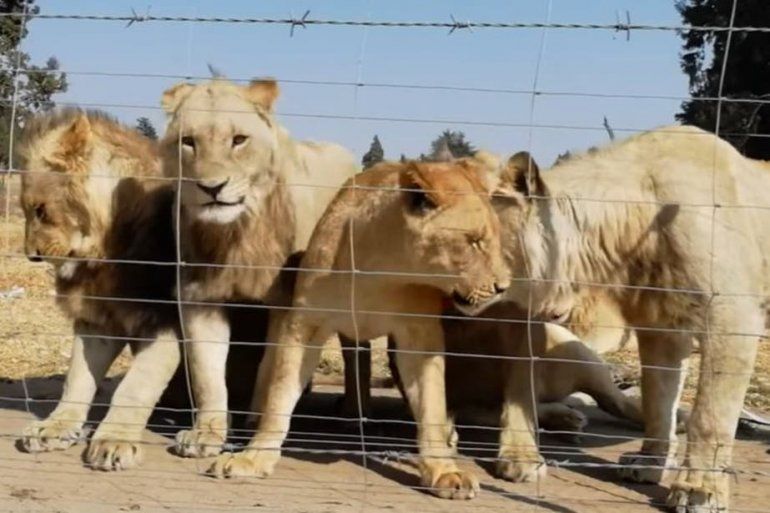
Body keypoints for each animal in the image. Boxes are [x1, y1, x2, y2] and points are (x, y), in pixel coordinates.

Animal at [17, 108, 181, 471]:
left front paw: (113, 441)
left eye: (40, 210)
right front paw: (54, 428)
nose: (31, 255)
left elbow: (136, 386)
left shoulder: (166, 321)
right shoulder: (98, 320)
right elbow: (76, 379)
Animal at [159, 78, 356, 457]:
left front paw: (257, 418)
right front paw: (206, 434)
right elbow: (206, 371)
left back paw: (351, 414)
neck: (234, 234)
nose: (212, 188)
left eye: (239, 140)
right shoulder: (199, 297)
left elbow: (273, 365)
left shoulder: (286, 302)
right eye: (188, 142)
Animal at [492, 126, 769, 512]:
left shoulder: (731, 318)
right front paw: (649, 463)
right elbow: (658, 399)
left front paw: (698, 490)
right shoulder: (661, 327)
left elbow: (711, 416)